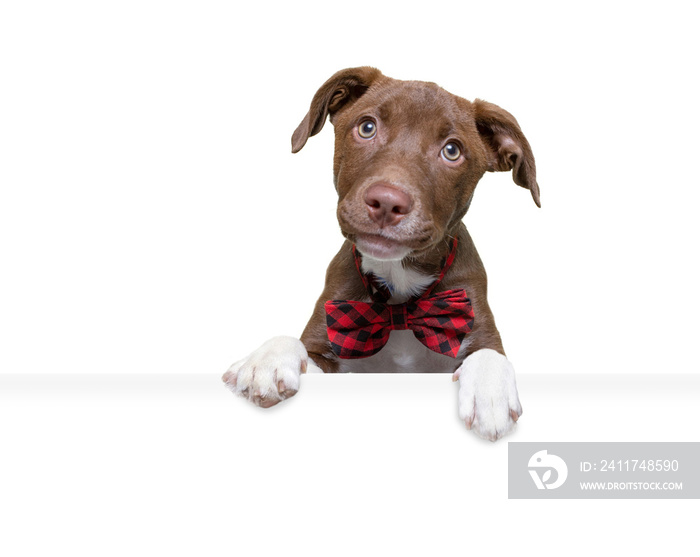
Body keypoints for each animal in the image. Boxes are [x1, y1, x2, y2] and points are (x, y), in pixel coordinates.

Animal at [221, 66, 540, 438]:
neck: (399, 290)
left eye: (452, 151)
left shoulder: (476, 325)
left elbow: (489, 354)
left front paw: (490, 394)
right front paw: (267, 360)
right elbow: (297, 347)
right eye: (367, 127)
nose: (387, 202)